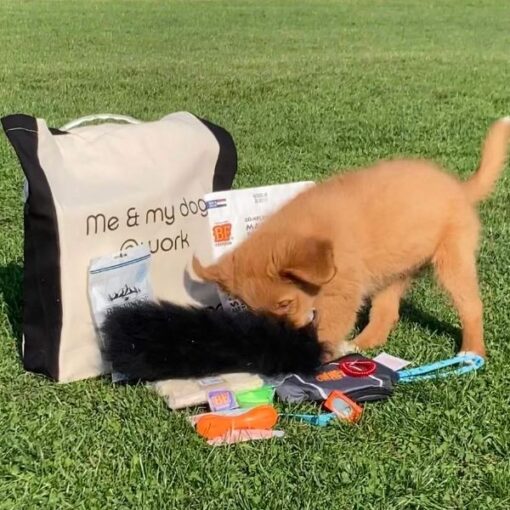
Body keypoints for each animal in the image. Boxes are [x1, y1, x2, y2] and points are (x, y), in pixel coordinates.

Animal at [194, 119, 510, 358]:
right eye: (259, 314)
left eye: (285, 304)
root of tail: (460, 189)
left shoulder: (342, 295)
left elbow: (328, 328)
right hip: (393, 271)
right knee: (386, 313)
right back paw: (359, 345)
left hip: (453, 260)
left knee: (471, 307)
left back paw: (472, 352)